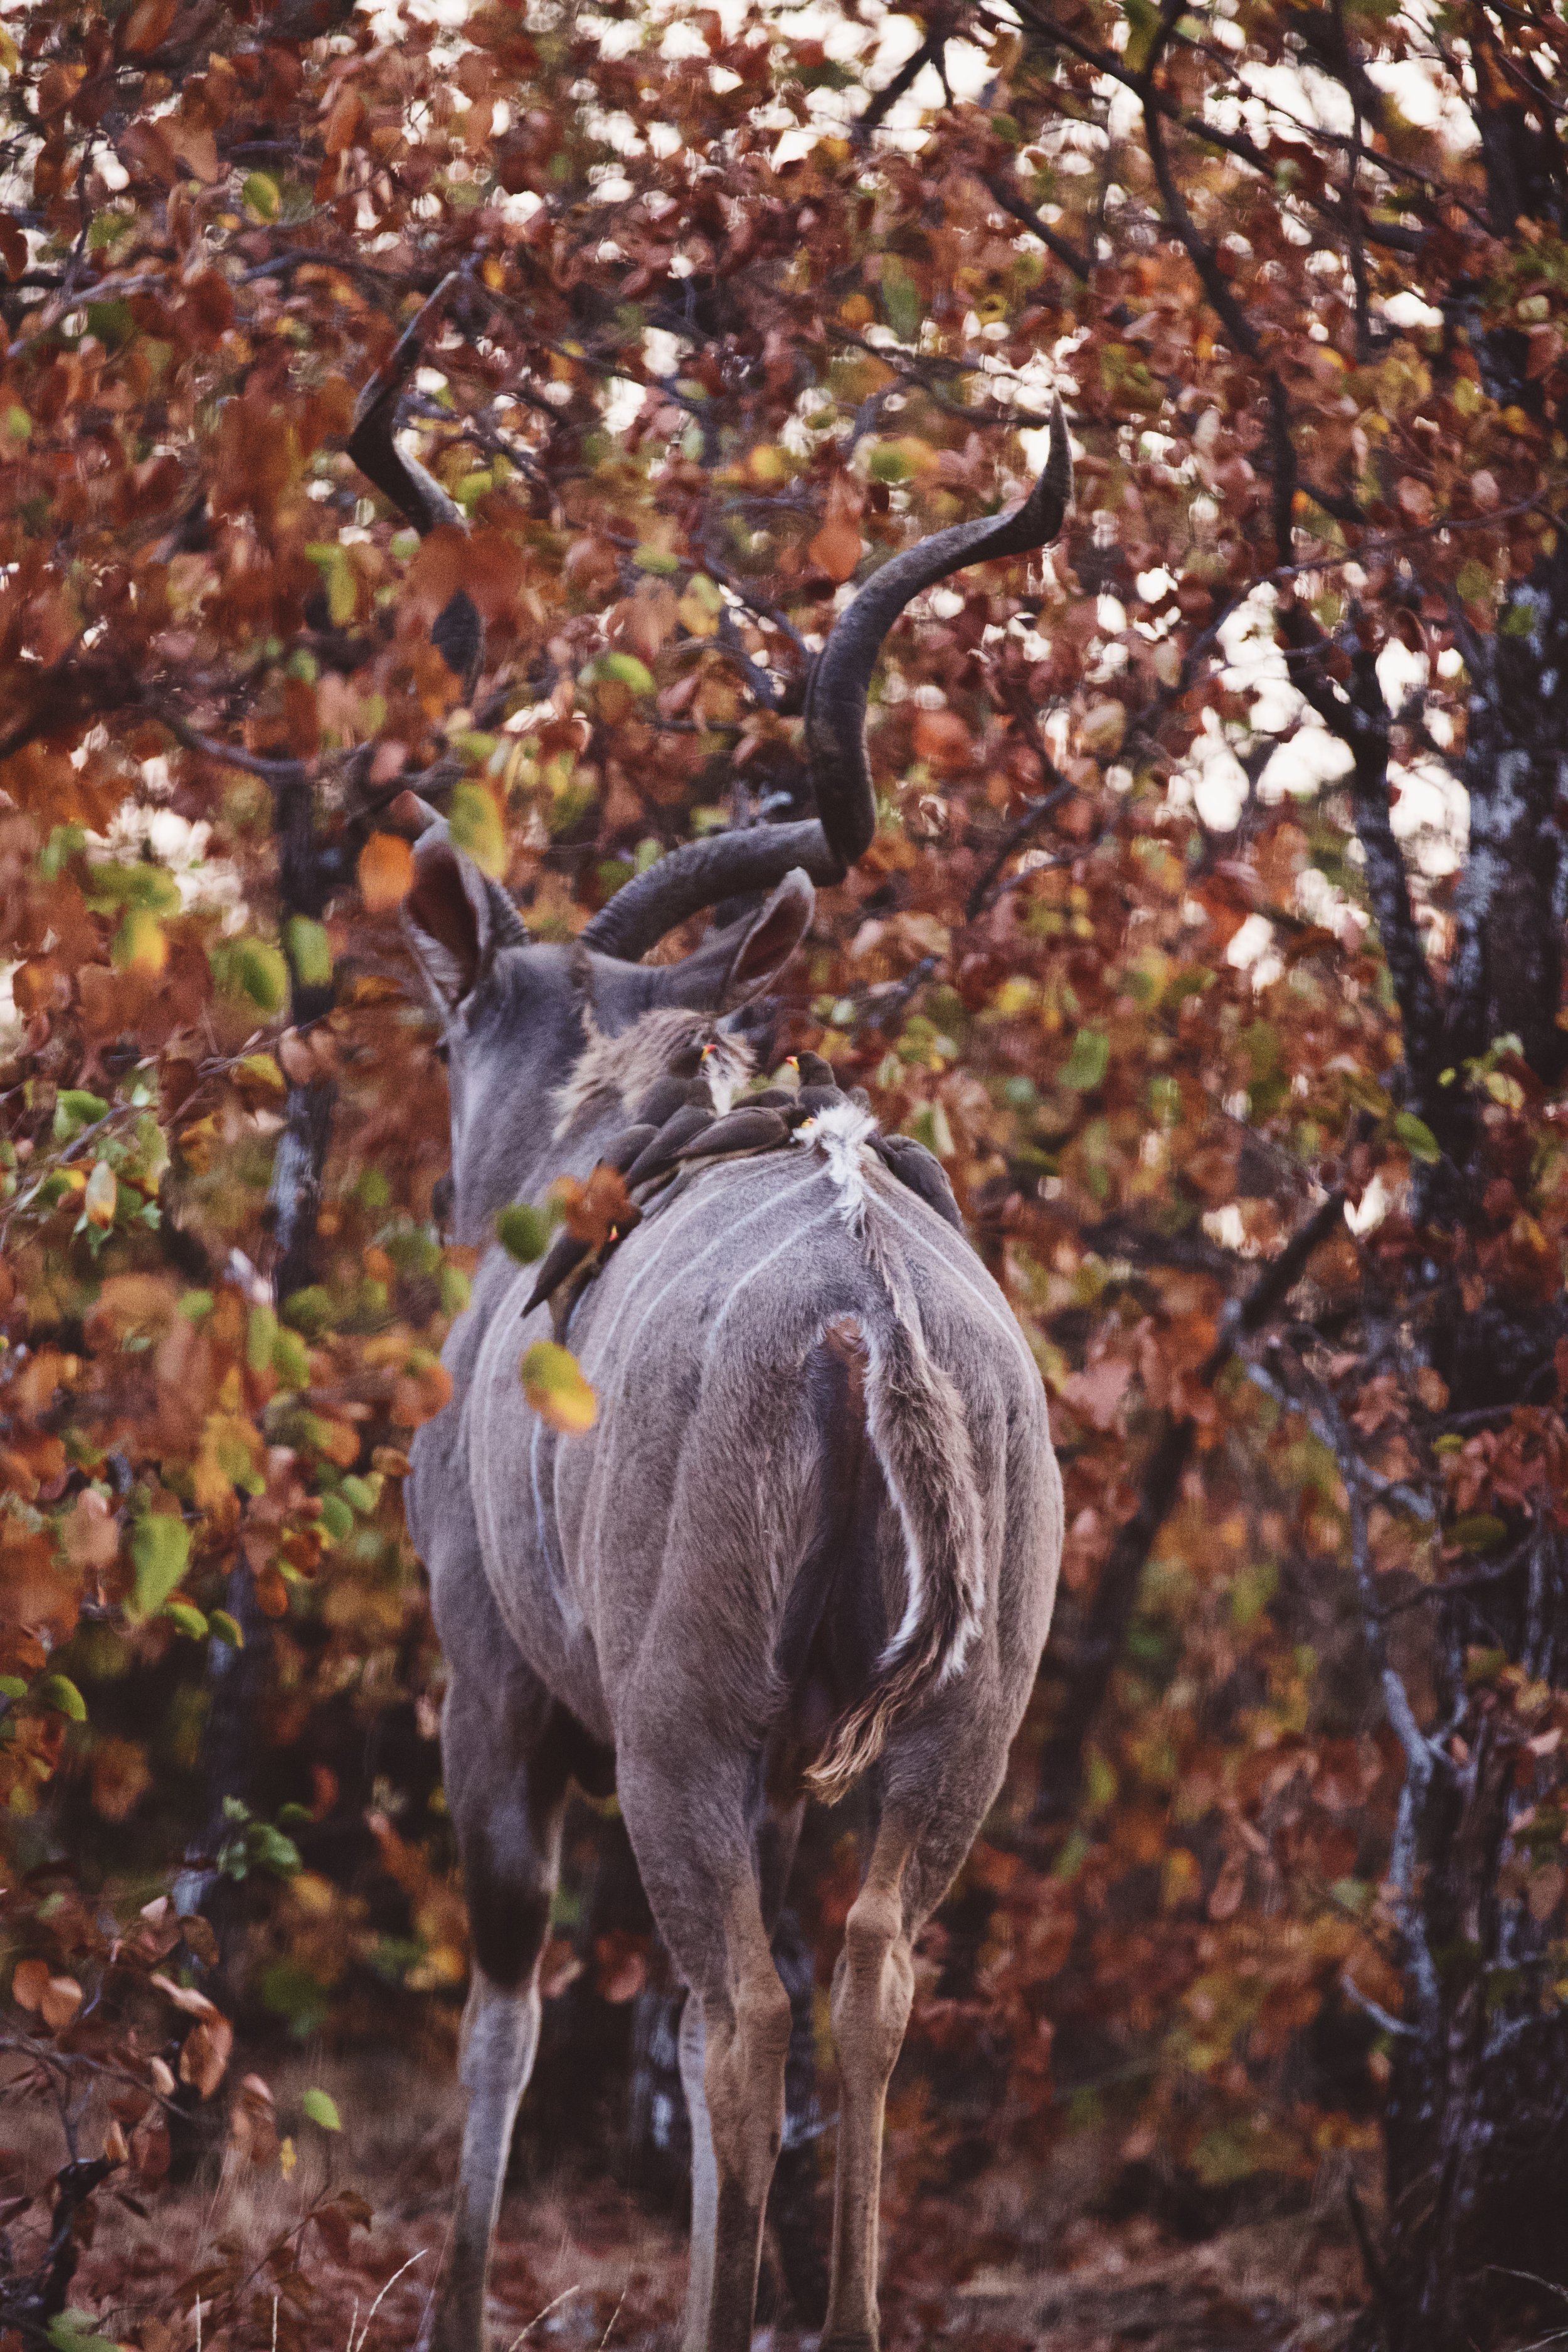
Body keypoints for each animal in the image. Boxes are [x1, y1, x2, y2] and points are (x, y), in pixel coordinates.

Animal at [350, 341, 1072, 2343]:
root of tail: (874, 1323)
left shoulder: (501, 1685)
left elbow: (507, 2009)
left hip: (676, 1727)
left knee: (739, 2010)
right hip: (949, 1733)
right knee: (869, 1983)